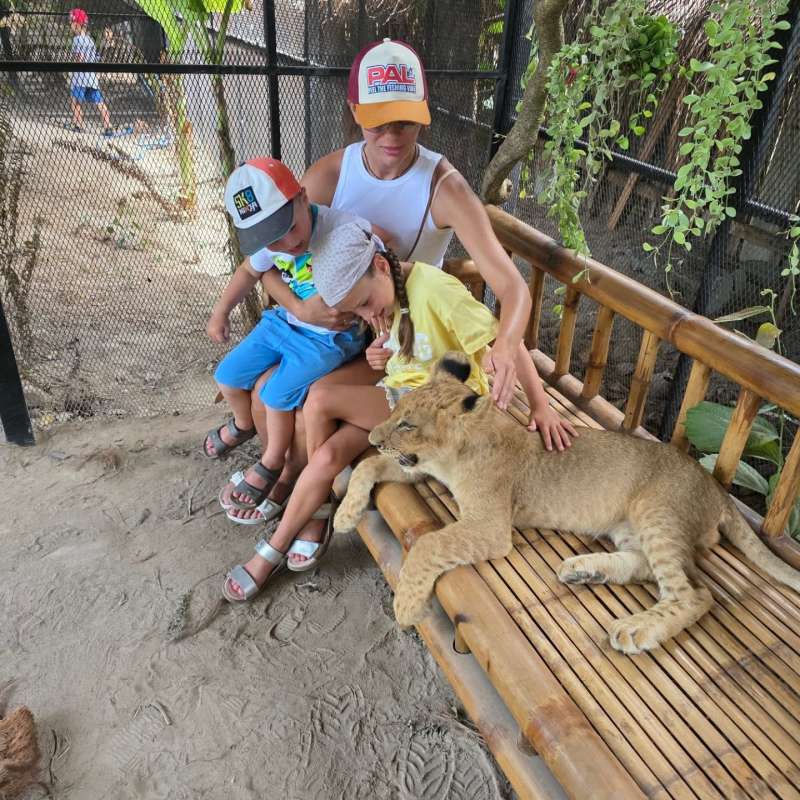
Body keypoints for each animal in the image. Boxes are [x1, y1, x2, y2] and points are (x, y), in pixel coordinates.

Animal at [334, 352, 800, 655]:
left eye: (408, 424)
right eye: (396, 414)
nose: (372, 435)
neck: (453, 455)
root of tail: (719, 489)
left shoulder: (492, 527)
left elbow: (431, 544)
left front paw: (407, 607)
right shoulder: (419, 469)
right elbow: (369, 466)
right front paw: (344, 514)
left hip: (658, 512)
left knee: (695, 591)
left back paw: (634, 629)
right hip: (633, 527)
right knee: (649, 567)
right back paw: (584, 570)